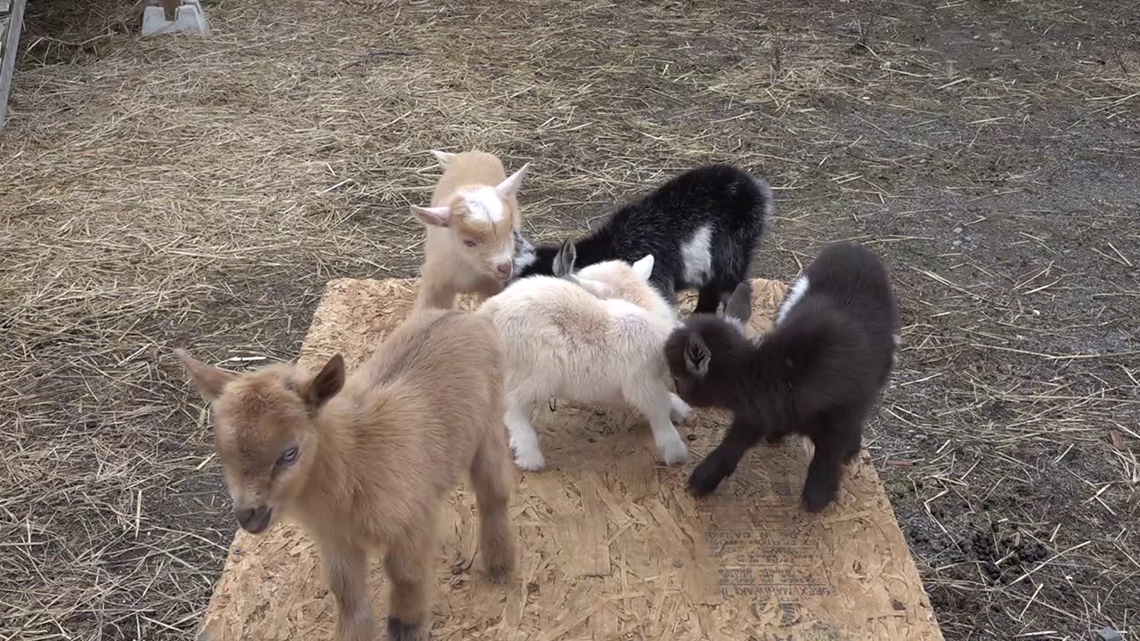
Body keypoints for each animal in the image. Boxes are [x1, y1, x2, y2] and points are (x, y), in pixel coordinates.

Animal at [174, 308, 517, 641]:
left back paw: (501, 565)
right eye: (221, 451)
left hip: (489, 425)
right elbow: (346, 593)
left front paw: (406, 626)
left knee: (494, 493)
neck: (354, 459)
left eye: (290, 453)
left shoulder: (412, 521)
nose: (249, 515)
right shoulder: (336, 539)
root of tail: (460, 314)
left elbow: (405, 574)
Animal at [411, 150, 530, 311]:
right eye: (468, 242)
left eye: (511, 228)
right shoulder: (437, 283)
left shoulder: (492, 286)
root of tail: (474, 152)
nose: (505, 268)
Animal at [478, 250, 691, 471]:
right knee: (511, 405)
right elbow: (659, 413)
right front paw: (675, 451)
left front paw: (680, 409)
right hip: (536, 370)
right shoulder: (643, 383)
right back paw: (529, 455)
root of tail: (486, 313)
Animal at [664, 241, 900, 512]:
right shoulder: (758, 412)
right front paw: (704, 479)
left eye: (676, 376)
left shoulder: (838, 415)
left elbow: (828, 454)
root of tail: (853, 249)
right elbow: (735, 442)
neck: (774, 374)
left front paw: (818, 496)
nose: (675, 392)